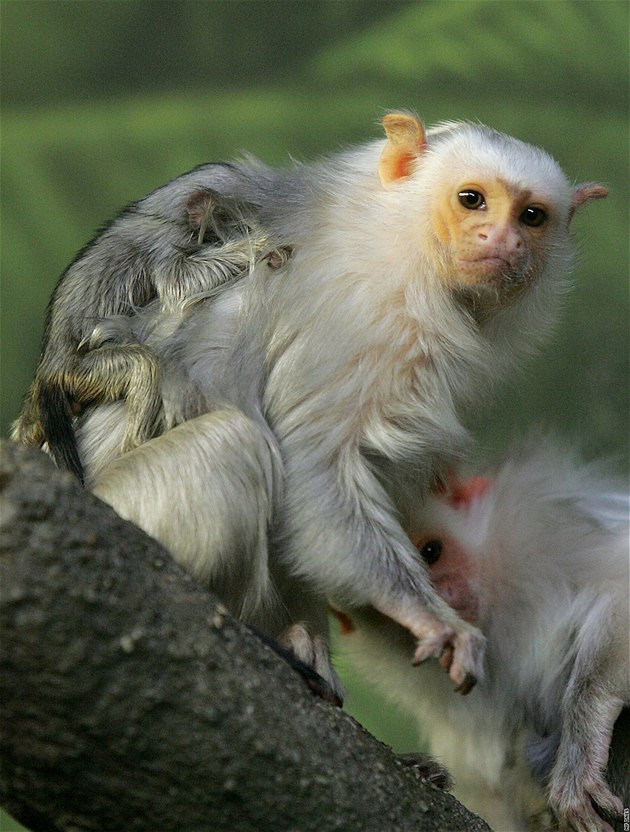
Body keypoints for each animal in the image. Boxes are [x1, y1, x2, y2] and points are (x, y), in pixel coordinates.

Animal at [21, 112, 608, 704]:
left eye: (532, 217)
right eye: (472, 200)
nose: (504, 241)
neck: (400, 239)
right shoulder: (359, 321)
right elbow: (313, 470)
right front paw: (428, 617)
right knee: (232, 440)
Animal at [340, 438, 630, 828]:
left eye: (430, 552)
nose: (443, 600)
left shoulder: (539, 531)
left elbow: (618, 585)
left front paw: (579, 751)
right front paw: (431, 772)